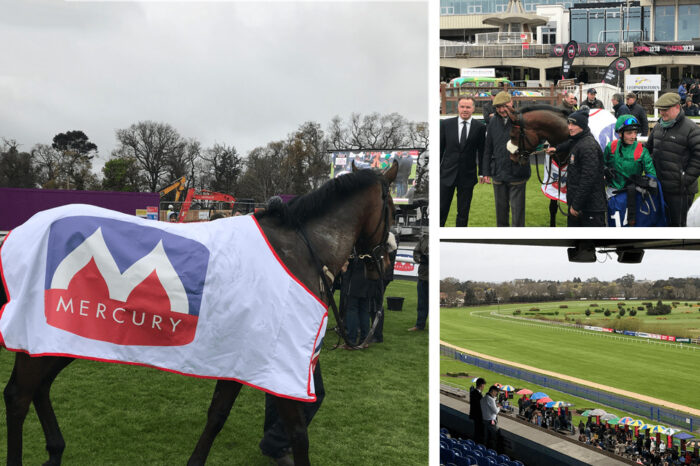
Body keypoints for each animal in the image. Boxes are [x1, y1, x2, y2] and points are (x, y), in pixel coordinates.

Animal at [1, 162, 400, 464]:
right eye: (395, 210)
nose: (386, 265)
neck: (298, 251)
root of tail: (19, 232)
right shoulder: (274, 358)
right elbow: (299, 431)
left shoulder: (245, 355)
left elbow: (217, 416)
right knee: (18, 395)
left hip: (67, 333)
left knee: (39, 388)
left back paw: (56, 451)